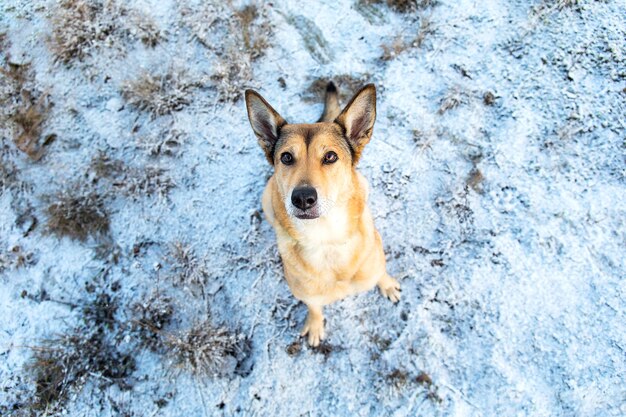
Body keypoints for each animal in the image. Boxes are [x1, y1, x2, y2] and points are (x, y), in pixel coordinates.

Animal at [244, 81, 400, 344]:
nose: (303, 198)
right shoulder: (308, 295)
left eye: (330, 156)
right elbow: (314, 306)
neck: (326, 240)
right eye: (286, 157)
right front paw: (315, 324)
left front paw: (387, 284)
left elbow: (380, 272)